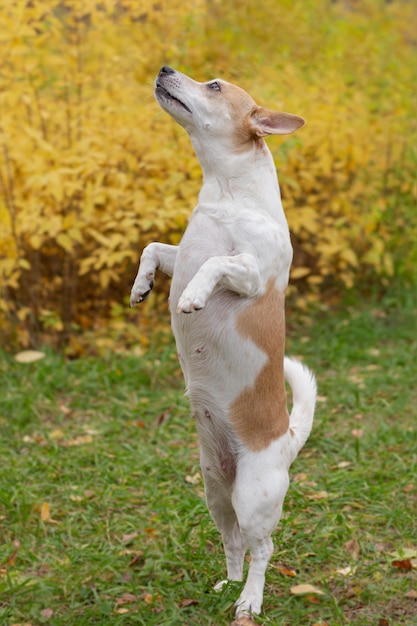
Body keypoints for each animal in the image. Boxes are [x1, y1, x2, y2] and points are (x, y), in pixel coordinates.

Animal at [130, 64, 316, 620]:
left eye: (213, 86)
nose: (165, 68)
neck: (225, 196)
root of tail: (287, 438)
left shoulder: (250, 273)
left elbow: (214, 264)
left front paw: (192, 296)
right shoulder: (180, 252)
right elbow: (154, 248)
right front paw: (142, 286)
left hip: (253, 497)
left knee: (263, 548)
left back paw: (249, 600)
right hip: (215, 490)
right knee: (233, 542)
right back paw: (226, 584)